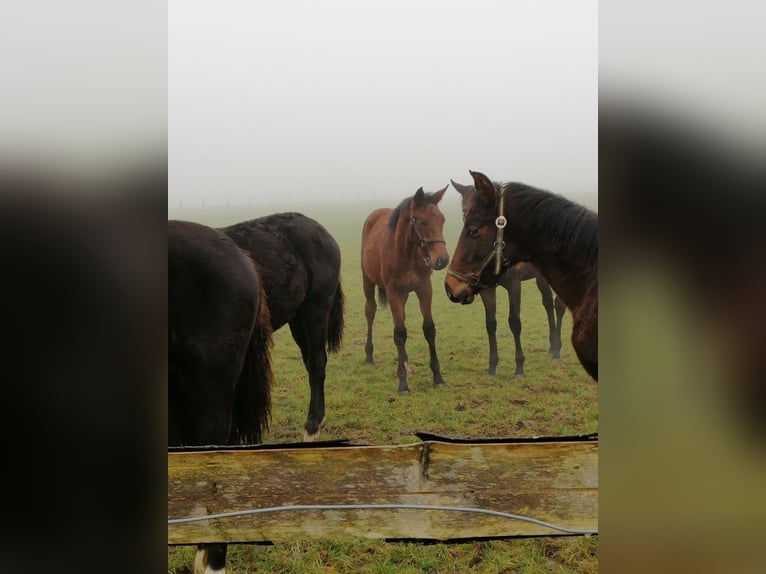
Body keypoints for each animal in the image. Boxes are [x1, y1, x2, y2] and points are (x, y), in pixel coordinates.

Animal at [364, 188, 452, 396]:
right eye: (422, 222)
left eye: (442, 220)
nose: (442, 260)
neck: (408, 255)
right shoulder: (393, 292)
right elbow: (399, 334)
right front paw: (403, 383)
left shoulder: (424, 289)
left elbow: (428, 329)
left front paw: (437, 376)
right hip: (368, 282)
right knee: (370, 312)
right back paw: (369, 356)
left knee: (401, 319)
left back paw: (404, 361)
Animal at [444, 171, 600, 382]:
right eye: (463, 211)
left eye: (473, 229)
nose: (450, 287)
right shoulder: (487, 288)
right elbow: (490, 324)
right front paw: (492, 366)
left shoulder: (514, 285)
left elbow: (514, 322)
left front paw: (519, 367)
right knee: (547, 304)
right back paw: (552, 347)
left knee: (557, 306)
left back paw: (556, 350)